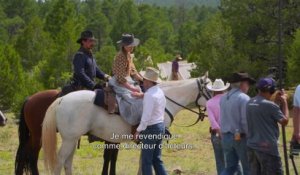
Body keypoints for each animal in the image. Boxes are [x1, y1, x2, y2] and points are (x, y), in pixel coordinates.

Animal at [41, 73, 211, 174]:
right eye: (210, 89)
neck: (164, 100)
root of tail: (62, 99)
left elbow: (142, 162)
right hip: (69, 140)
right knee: (60, 161)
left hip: (72, 139)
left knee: (68, 162)